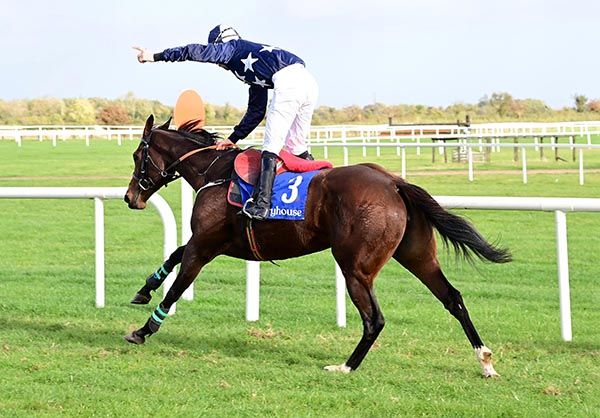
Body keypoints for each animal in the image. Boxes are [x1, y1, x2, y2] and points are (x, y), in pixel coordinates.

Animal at [123, 115, 510, 378]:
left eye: (137, 155)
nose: (129, 198)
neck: (214, 174)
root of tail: (393, 182)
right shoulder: (211, 242)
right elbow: (173, 255)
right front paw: (144, 289)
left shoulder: (206, 245)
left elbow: (178, 284)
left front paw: (143, 330)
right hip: (416, 255)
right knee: (452, 298)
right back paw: (485, 361)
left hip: (355, 267)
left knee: (374, 319)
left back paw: (346, 366)